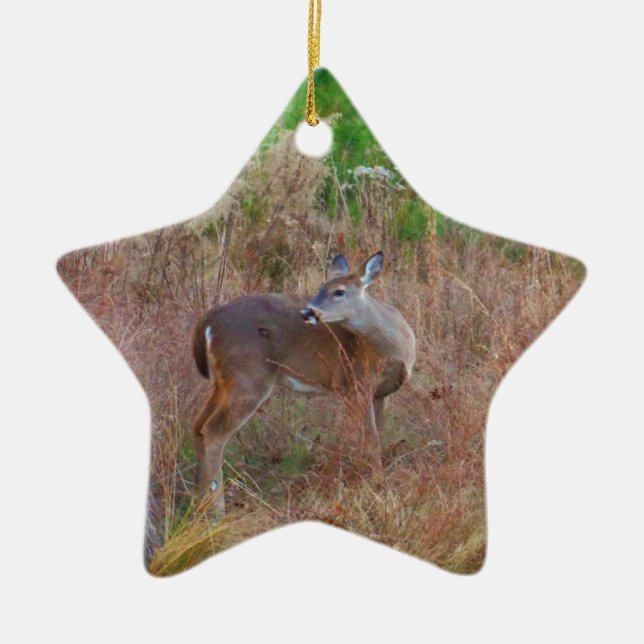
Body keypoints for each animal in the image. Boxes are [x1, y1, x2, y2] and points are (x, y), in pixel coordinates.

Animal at [191, 251, 416, 516]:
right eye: (320, 287)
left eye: (339, 291)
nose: (308, 312)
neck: (395, 348)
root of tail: (207, 322)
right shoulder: (354, 383)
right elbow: (370, 439)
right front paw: (377, 485)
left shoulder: (380, 393)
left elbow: (375, 435)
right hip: (248, 377)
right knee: (213, 430)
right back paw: (217, 510)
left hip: (222, 382)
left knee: (198, 425)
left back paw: (198, 502)